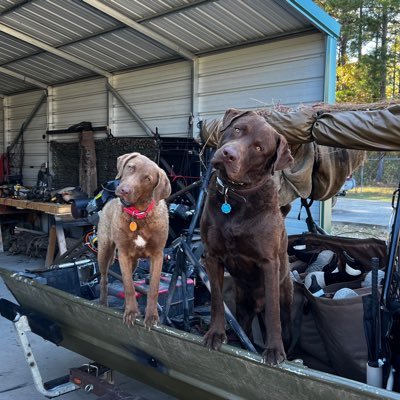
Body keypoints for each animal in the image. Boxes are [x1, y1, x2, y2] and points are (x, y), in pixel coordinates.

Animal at [98, 152, 172, 328]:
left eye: (148, 179)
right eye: (130, 167)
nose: (124, 190)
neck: (138, 214)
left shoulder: (157, 255)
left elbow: (153, 288)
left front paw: (151, 316)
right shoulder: (124, 254)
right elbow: (129, 286)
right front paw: (131, 312)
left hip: (134, 262)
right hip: (104, 251)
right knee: (104, 277)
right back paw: (103, 302)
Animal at [200, 108, 294, 364]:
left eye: (259, 148)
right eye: (238, 129)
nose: (228, 154)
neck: (234, 195)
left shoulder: (269, 263)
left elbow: (273, 314)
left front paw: (274, 349)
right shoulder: (212, 256)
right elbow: (216, 300)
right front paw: (215, 334)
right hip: (243, 305)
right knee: (245, 327)